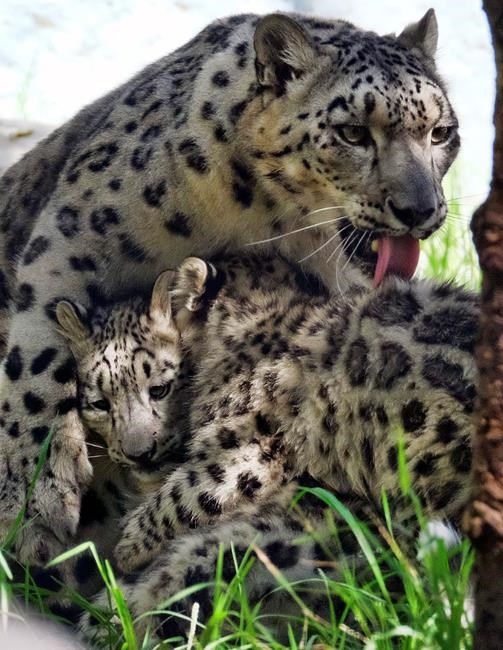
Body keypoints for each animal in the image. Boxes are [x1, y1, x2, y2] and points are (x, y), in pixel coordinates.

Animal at [0, 8, 460, 565]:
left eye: (442, 132)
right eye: (352, 132)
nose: (421, 210)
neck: (269, 219)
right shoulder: (75, 234)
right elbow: (36, 349)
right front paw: (34, 503)